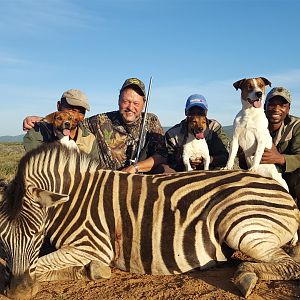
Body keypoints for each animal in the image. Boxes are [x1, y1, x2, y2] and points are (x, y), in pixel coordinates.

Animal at [0, 142, 298, 298]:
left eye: (37, 234)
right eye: (1, 240)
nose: (17, 292)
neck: (71, 198)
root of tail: (281, 190)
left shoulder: (94, 245)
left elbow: (39, 264)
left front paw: (90, 271)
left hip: (241, 225)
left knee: (290, 265)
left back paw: (246, 275)